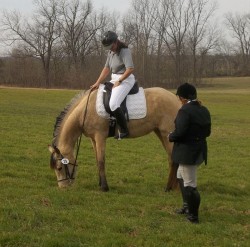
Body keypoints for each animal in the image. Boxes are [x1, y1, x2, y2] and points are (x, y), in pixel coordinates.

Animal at [48, 87, 181, 191]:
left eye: (59, 168)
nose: (63, 187)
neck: (85, 111)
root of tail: (176, 100)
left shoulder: (100, 136)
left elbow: (101, 161)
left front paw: (104, 187)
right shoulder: (93, 139)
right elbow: (97, 160)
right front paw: (100, 183)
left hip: (167, 134)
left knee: (173, 160)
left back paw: (168, 188)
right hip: (161, 133)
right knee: (171, 158)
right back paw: (173, 187)